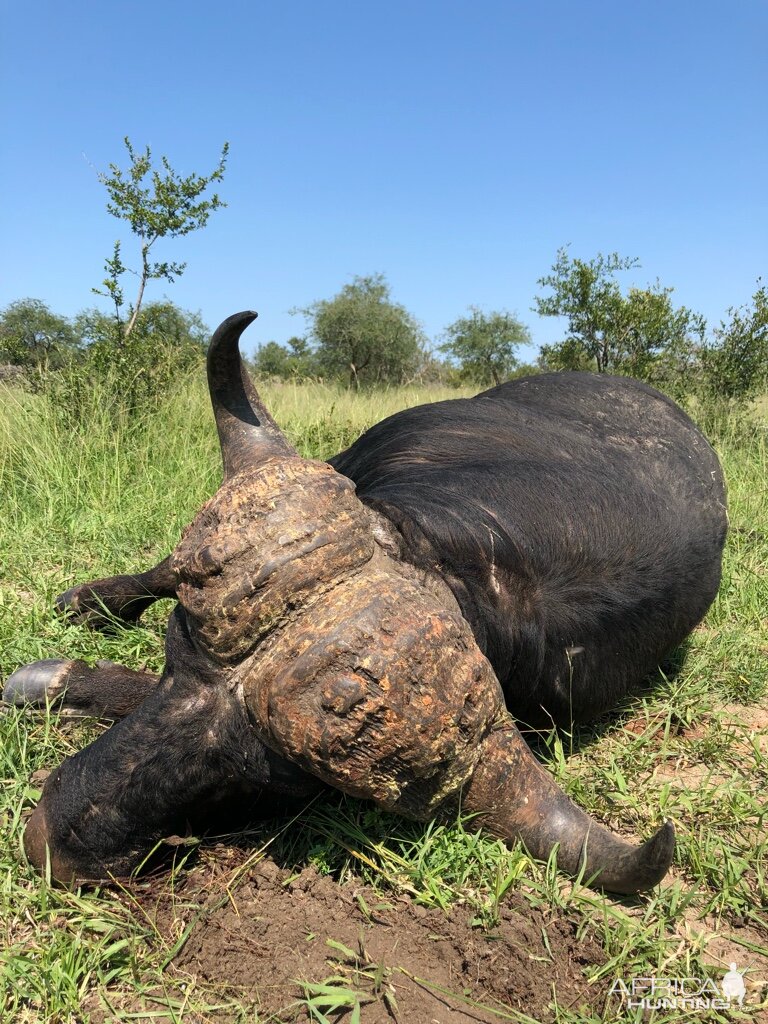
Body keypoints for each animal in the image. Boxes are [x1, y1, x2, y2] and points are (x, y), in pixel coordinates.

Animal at [4, 307, 729, 892]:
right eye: (171, 656)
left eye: (263, 778)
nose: (47, 841)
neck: (491, 571)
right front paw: (57, 674)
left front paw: (57, 685)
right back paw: (87, 602)